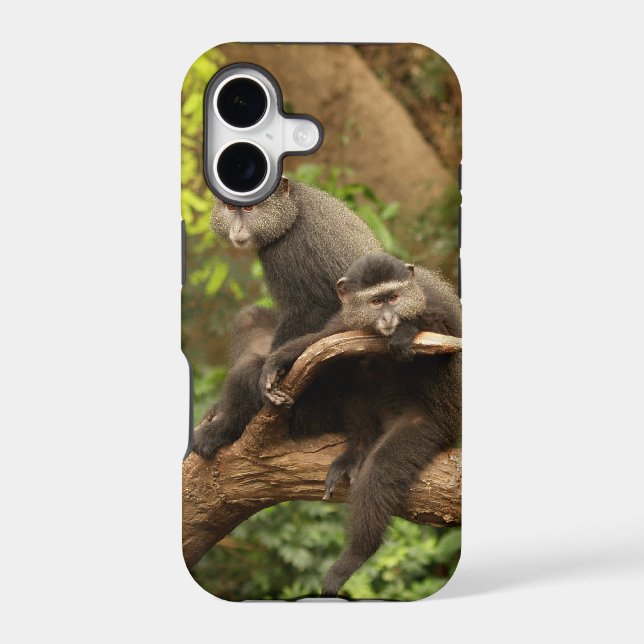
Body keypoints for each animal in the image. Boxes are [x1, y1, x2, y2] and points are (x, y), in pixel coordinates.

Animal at [191, 178, 381, 458]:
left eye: (250, 209)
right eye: (230, 207)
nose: (237, 227)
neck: (293, 211)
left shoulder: (289, 251)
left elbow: (314, 308)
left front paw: (272, 369)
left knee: (248, 370)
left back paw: (225, 428)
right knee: (249, 318)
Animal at [259, 252, 461, 596]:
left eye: (394, 298)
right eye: (376, 301)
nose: (389, 318)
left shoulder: (433, 305)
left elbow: (448, 337)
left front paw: (407, 331)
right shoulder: (348, 319)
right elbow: (325, 339)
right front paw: (278, 360)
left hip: (432, 425)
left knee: (381, 469)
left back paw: (356, 554)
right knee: (354, 365)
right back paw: (358, 449)